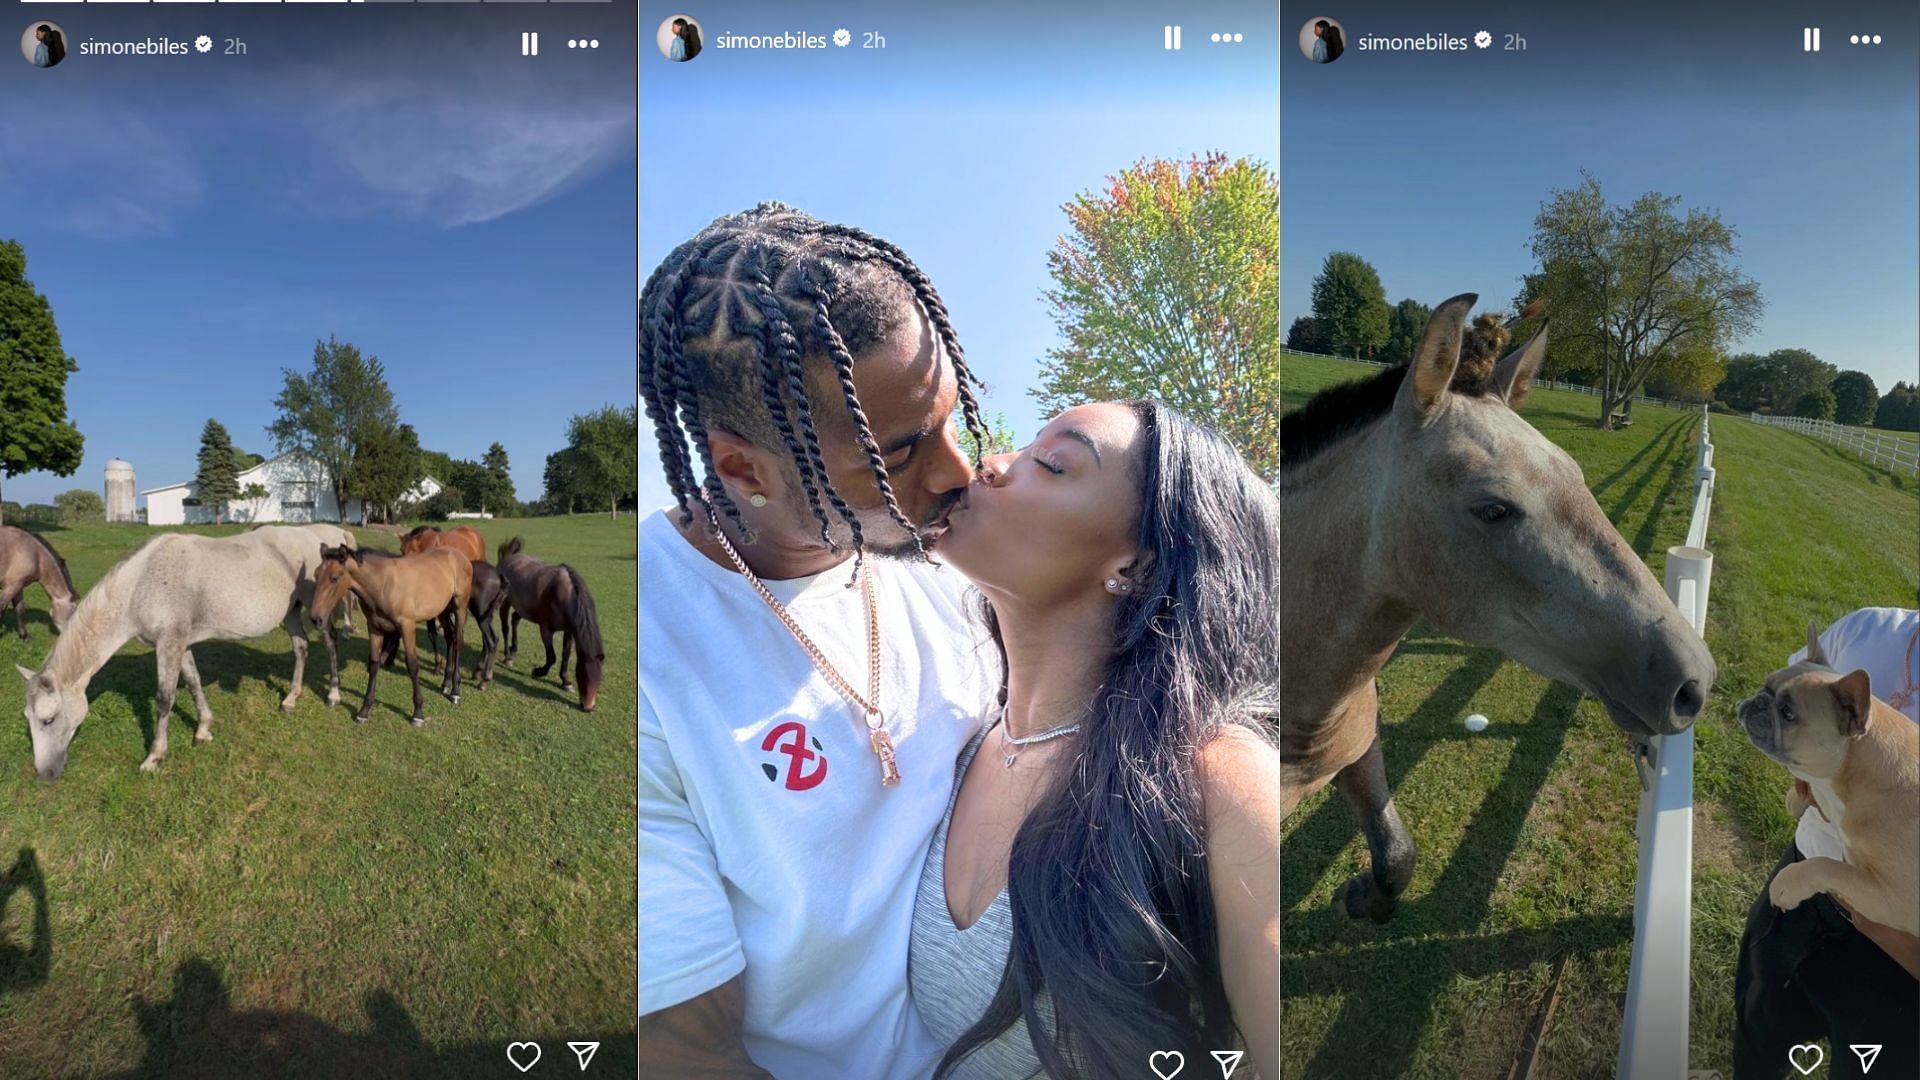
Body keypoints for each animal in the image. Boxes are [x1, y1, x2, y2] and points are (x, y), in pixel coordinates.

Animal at [17, 522, 353, 772]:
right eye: (28, 719)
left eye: (48, 719)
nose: (45, 773)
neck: (141, 586)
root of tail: (321, 536)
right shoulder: (181, 644)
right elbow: (193, 683)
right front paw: (203, 730)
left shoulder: (169, 644)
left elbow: (164, 698)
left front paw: (154, 757)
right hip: (291, 613)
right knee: (301, 648)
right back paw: (291, 699)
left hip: (318, 610)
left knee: (331, 644)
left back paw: (333, 695)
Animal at [311, 545, 472, 722]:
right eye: (316, 575)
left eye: (334, 578)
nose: (315, 619)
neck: (383, 585)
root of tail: (459, 555)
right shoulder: (374, 628)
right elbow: (374, 664)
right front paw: (364, 710)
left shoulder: (407, 626)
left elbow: (412, 665)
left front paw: (418, 713)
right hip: (442, 610)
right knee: (450, 638)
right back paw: (446, 684)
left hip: (460, 607)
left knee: (458, 641)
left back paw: (455, 691)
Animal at [499, 534, 602, 707]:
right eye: (583, 675)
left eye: (600, 678)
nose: (588, 707)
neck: (563, 594)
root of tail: (508, 558)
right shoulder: (546, 629)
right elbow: (552, 657)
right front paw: (538, 672)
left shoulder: (569, 631)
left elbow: (566, 655)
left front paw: (565, 682)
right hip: (505, 602)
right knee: (505, 627)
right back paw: (508, 657)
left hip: (523, 608)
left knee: (514, 620)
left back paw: (514, 648)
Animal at [1282, 294, 1720, 914]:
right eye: (1493, 510)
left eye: (1575, 476)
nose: (1694, 681)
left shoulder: (1361, 751)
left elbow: (1398, 856)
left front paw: (1360, 896)